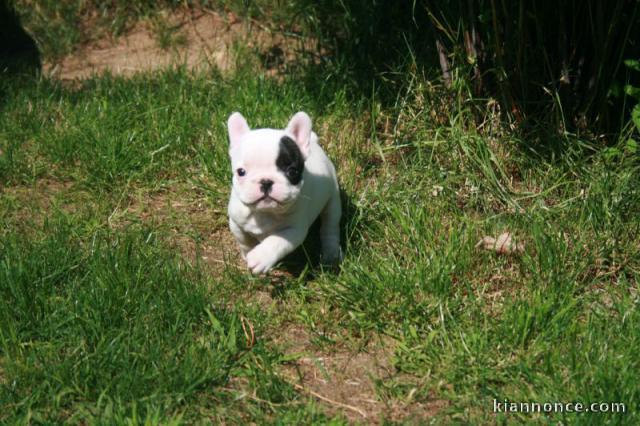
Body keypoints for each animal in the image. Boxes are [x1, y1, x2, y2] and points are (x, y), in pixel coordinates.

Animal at [226, 111, 342, 274]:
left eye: (292, 171)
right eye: (241, 172)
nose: (266, 181)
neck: (264, 213)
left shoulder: (295, 229)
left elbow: (277, 240)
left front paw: (260, 257)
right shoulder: (236, 223)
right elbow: (244, 241)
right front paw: (248, 253)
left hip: (333, 200)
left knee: (330, 226)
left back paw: (331, 253)